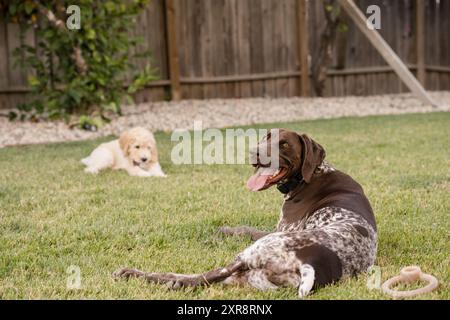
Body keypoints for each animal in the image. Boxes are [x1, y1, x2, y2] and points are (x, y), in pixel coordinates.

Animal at [112, 129, 376, 298]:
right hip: (250, 276)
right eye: (266, 137)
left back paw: (137, 274)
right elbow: (246, 228)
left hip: (249, 255)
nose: (253, 152)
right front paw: (225, 230)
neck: (308, 177)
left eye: (284, 144)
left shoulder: (282, 229)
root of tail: (309, 264)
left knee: (194, 277)